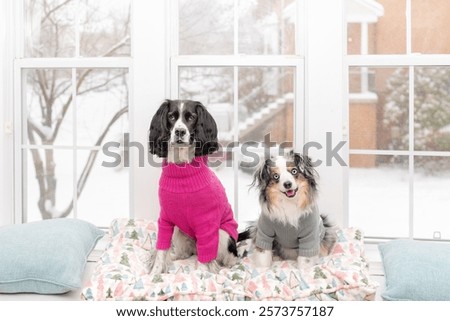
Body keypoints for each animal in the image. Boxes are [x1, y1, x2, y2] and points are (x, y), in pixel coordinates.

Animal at [148, 99, 239, 272]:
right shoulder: (165, 219)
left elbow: (205, 257)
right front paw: (154, 273)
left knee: (226, 258)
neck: (182, 170)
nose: (179, 132)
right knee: (186, 253)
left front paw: (202, 275)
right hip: (179, 230)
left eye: (191, 117)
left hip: (223, 234)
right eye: (171, 116)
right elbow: (161, 250)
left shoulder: (206, 224)